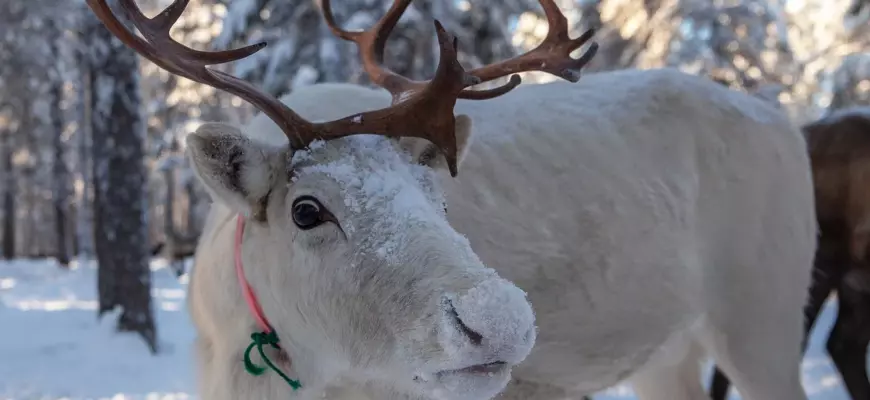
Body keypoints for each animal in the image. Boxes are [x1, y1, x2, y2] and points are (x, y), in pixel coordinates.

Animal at [87, 0, 817, 399]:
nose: (503, 321)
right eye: (306, 210)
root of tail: (785, 122)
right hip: (670, 354)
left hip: (765, 315)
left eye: (439, 200)